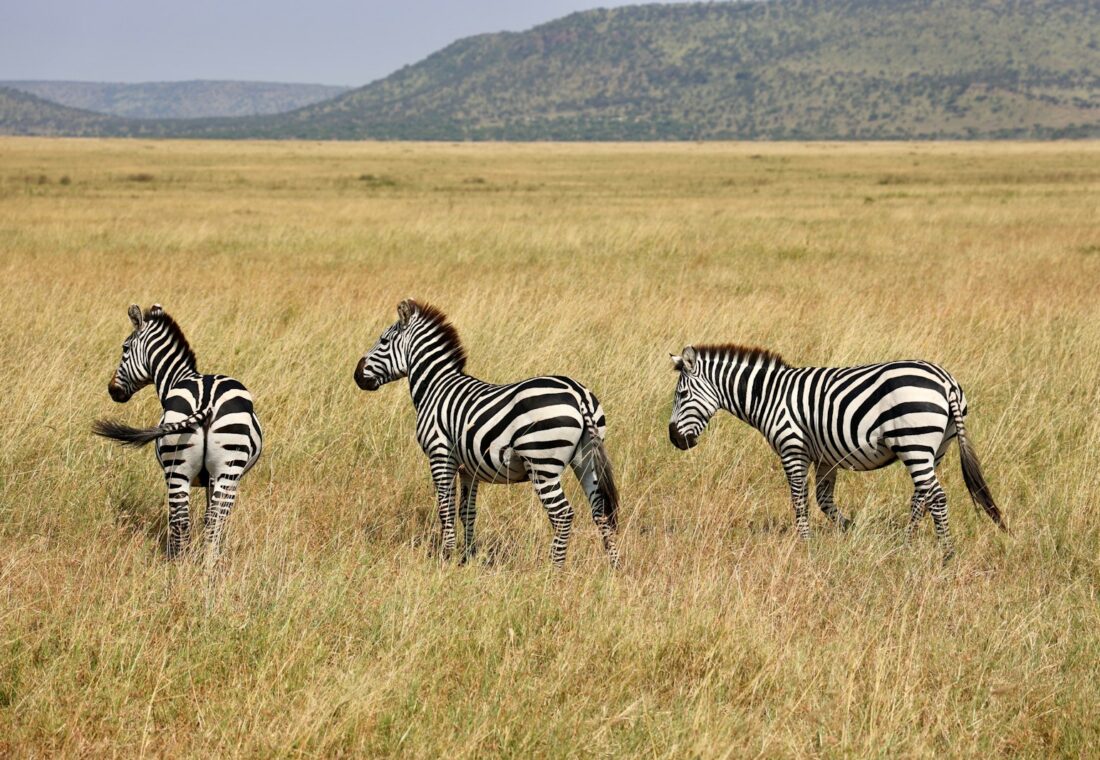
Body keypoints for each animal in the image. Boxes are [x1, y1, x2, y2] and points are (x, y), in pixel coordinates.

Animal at [93, 304, 263, 571]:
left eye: (124, 348)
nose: (112, 390)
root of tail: (206, 401)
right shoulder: (213, 479)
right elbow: (209, 516)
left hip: (183, 466)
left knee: (184, 518)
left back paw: (184, 566)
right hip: (222, 470)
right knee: (206, 519)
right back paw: (203, 568)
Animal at [354, 299, 620, 568]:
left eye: (383, 341)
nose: (356, 375)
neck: (435, 387)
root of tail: (578, 394)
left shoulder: (440, 455)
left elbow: (445, 509)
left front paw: (446, 557)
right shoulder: (468, 469)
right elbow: (467, 512)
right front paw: (467, 557)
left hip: (542, 464)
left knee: (563, 515)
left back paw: (555, 570)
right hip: (586, 460)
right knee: (601, 512)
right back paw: (614, 567)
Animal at [667, 344, 1006, 560]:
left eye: (681, 395)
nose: (674, 439)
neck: (768, 396)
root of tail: (946, 382)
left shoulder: (792, 447)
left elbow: (799, 498)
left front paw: (805, 544)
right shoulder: (825, 458)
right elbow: (824, 500)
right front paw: (850, 530)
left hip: (913, 442)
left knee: (936, 496)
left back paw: (947, 553)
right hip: (935, 449)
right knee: (921, 496)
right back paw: (906, 544)